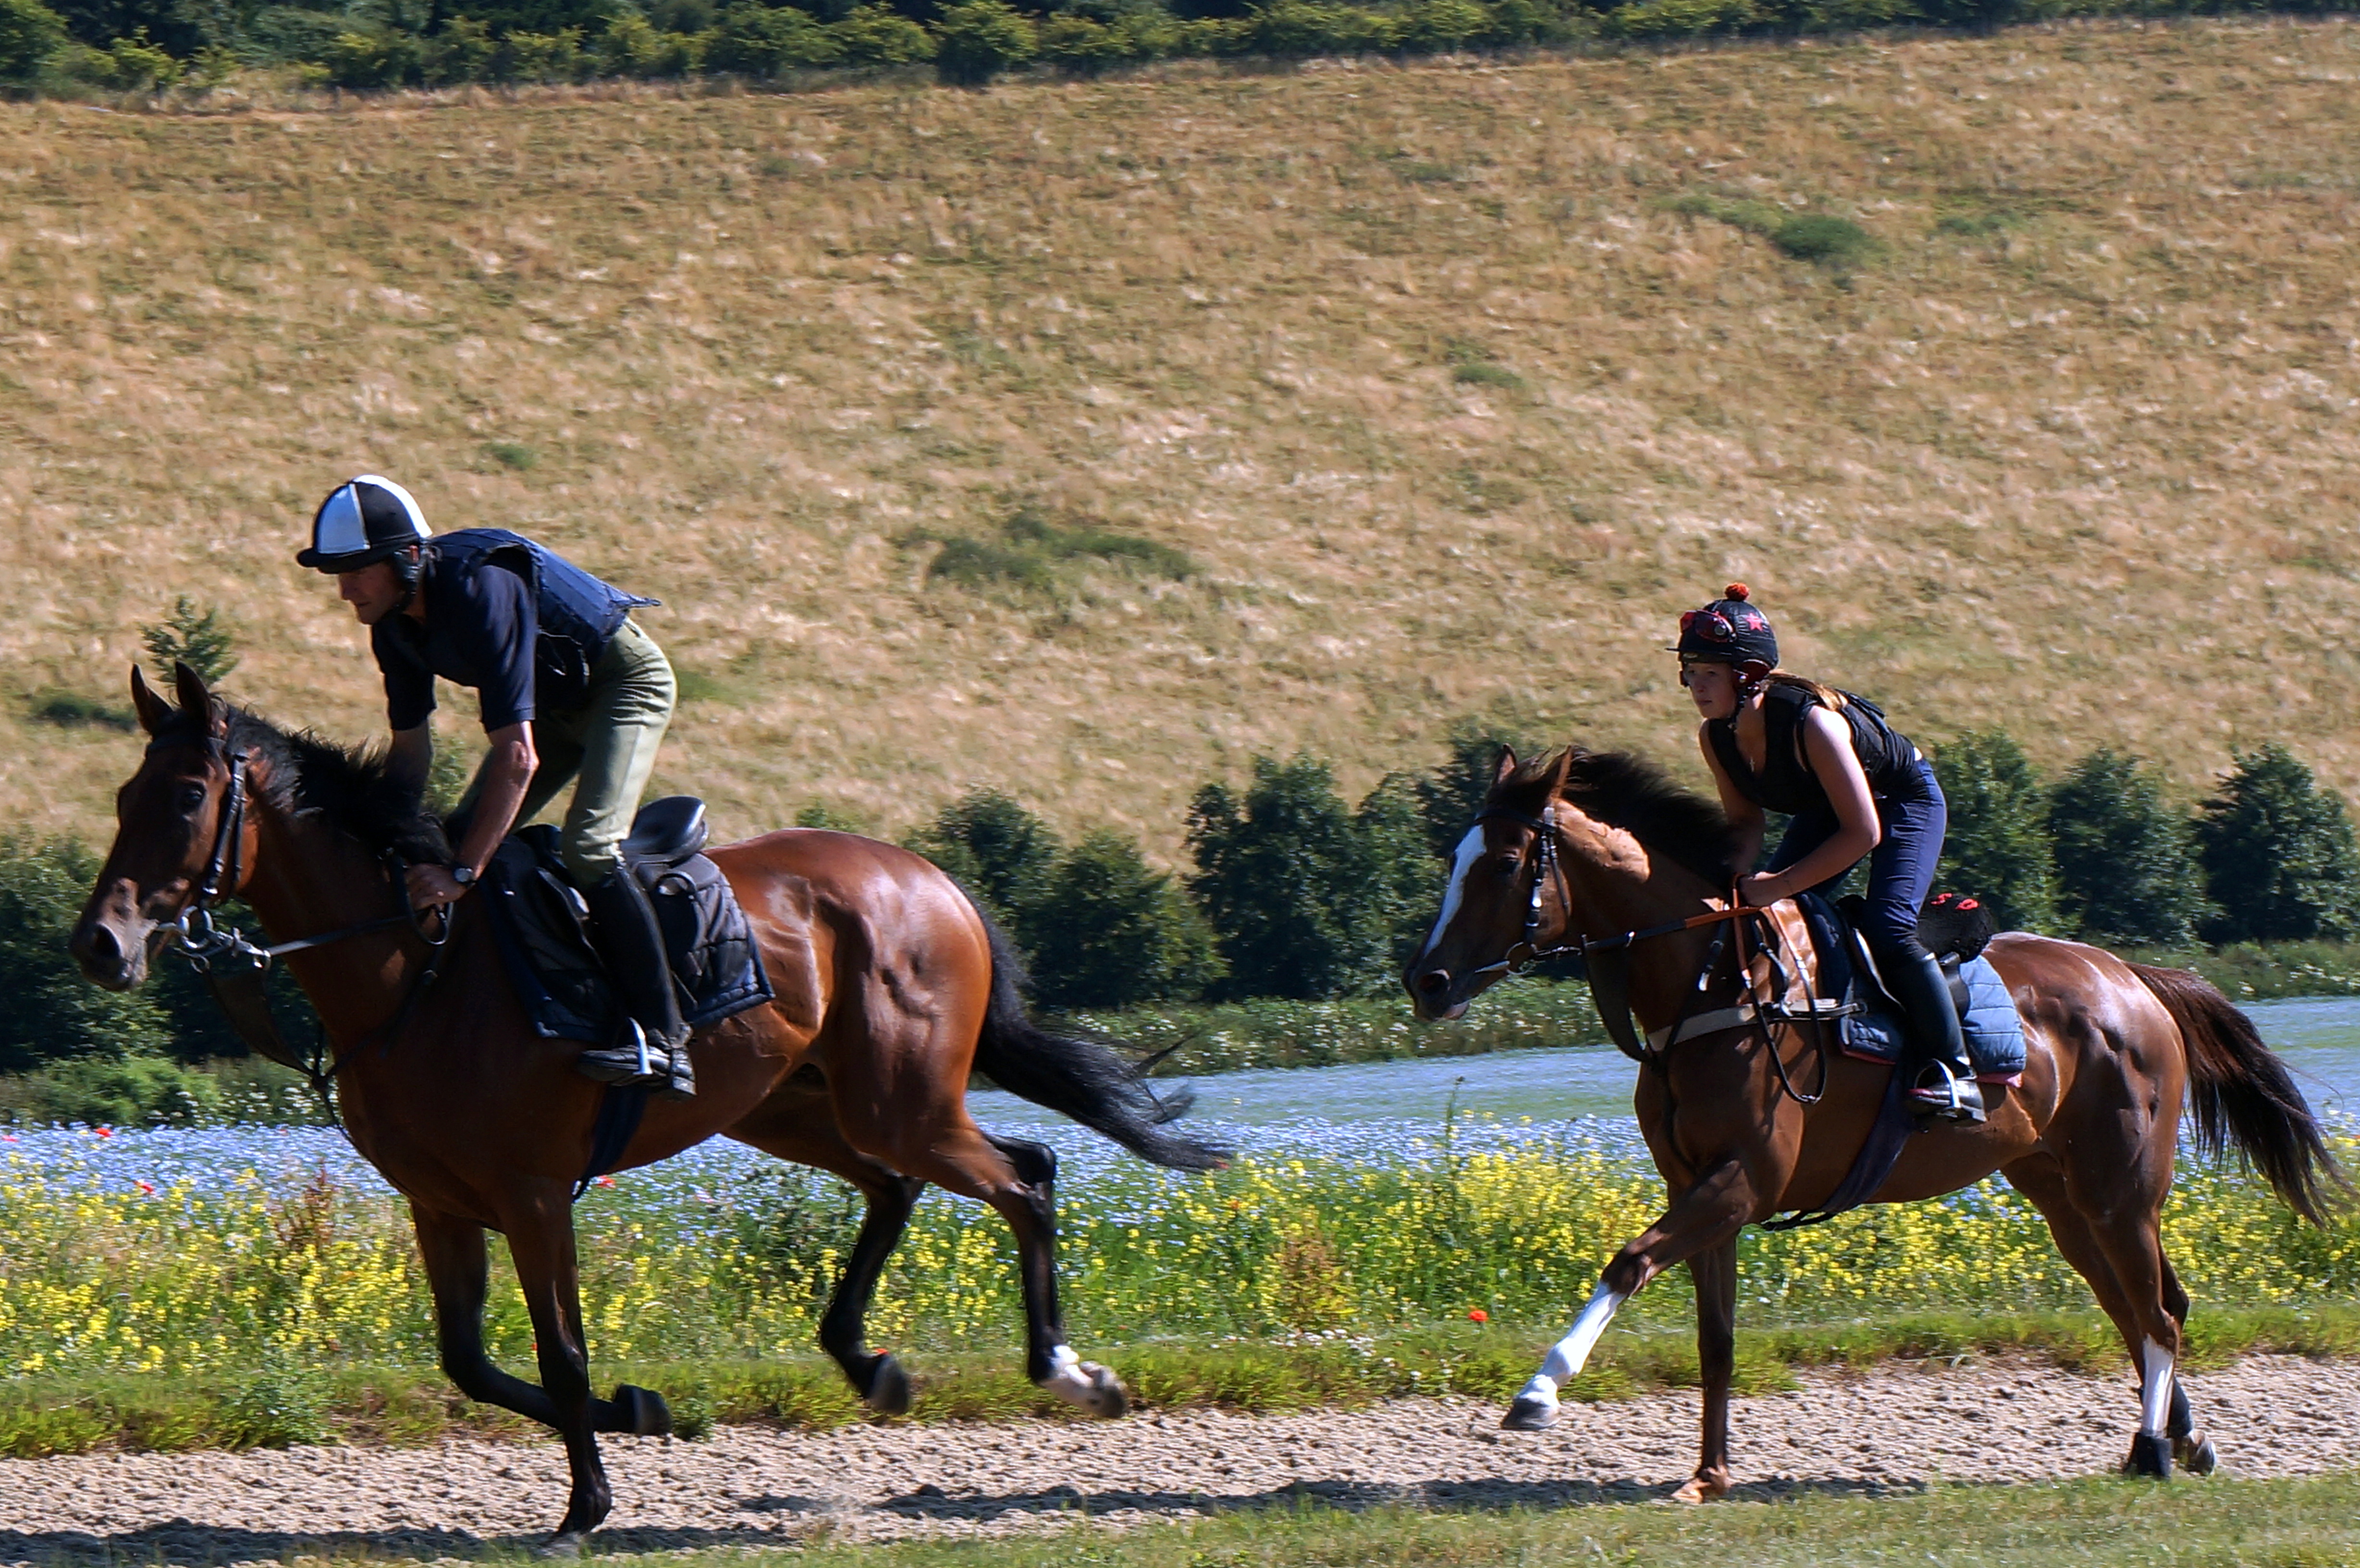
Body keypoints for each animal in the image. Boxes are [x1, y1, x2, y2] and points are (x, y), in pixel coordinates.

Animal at [70, 664, 1225, 1552]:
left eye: (185, 797)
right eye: (125, 793)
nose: (100, 944)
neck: (414, 967)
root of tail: (933, 879)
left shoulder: (535, 1194)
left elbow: (559, 1350)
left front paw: (586, 1504)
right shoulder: (439, 1204)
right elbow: (469, 1361)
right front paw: (641, 1412)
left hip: (898, 1100)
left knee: (1024, 1177)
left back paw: (1067, 1370)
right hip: (792, 1107)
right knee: (900, 1187)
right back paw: (867, 1361)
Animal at [1406, 745, 2349, 1498]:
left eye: (1501, 864)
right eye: (1453, 858)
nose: (1426, 979)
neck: (1712, 982)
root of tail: (2136, 979)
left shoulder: (1742, 1182)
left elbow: (1629, 1261)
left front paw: (1538, 1392)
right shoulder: (1699, 1187)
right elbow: (1714, 1336)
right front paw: (1708, 1474)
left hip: (2122, 1184)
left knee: (2155, 1313)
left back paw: (2151, 1449)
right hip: (2059, 1190)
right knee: (2136, 1303)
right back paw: (2185, 1440)